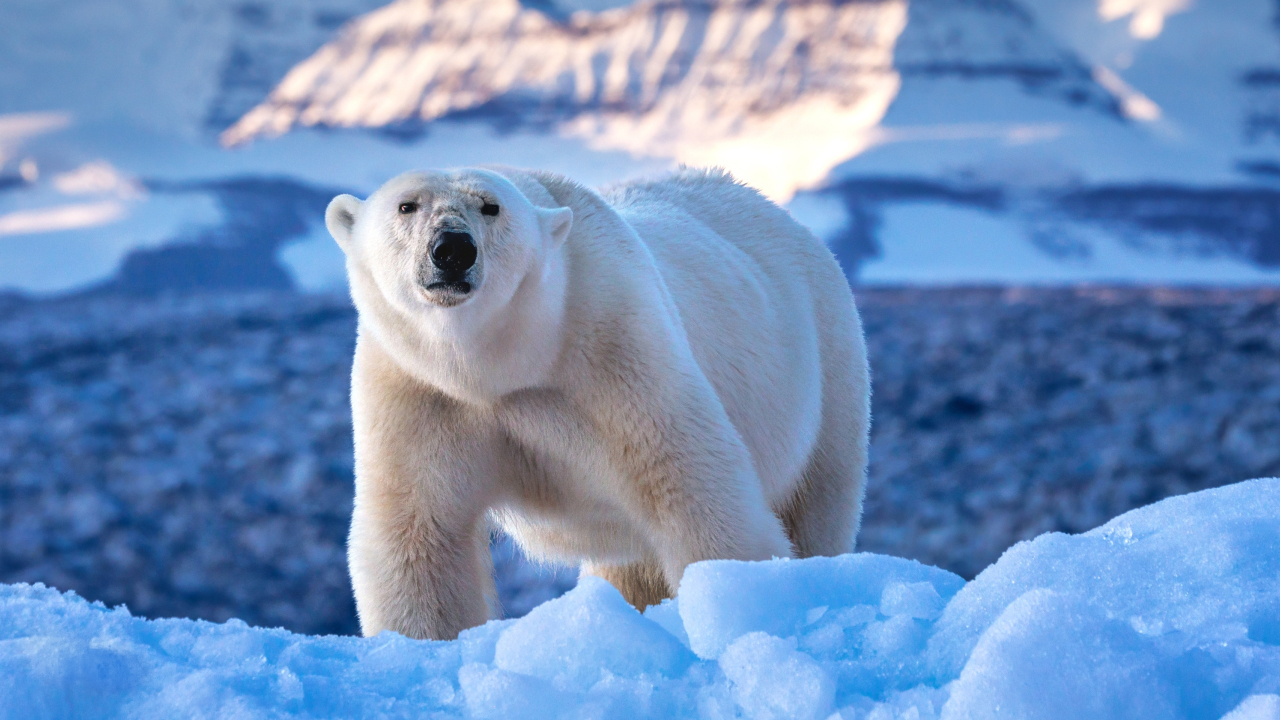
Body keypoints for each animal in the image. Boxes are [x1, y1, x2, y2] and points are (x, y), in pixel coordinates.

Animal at [324, 166, 870, 641]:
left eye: (491, 206)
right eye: (406, 205)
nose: (452, 249)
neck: (498, 368)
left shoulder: (615, 352)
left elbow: (693, 487)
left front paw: (737, 597)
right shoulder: (418, 390)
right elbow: (419, 534)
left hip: (826, 365)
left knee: (818, 500)